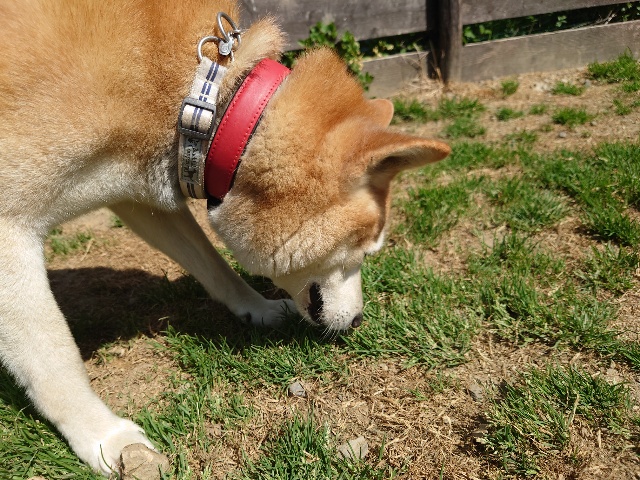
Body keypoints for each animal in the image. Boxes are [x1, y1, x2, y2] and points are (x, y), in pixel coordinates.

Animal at [0, 0, 450, 474]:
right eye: (364, 251)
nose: (361, 321)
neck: (204, 96)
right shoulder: (9, 231)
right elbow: (53, 354)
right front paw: (106, 437)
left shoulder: (140, 192)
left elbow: (211, 264)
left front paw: (259, 309)